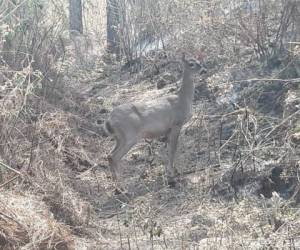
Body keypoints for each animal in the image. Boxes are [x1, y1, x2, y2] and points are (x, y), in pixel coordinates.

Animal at [103, 53, 206, 188]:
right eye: (191, 64)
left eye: (199, 61)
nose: (204, 70)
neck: (183, 99)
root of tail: (109, 121)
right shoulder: (176, 123)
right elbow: (173, 149)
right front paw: (172, 174)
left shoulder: (167, 130)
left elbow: (168, 150)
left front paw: (174, 171)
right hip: (129, 136)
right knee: (114, 157)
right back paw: (122, 186)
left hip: (119, 138)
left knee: (109, 155)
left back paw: (117, 185)